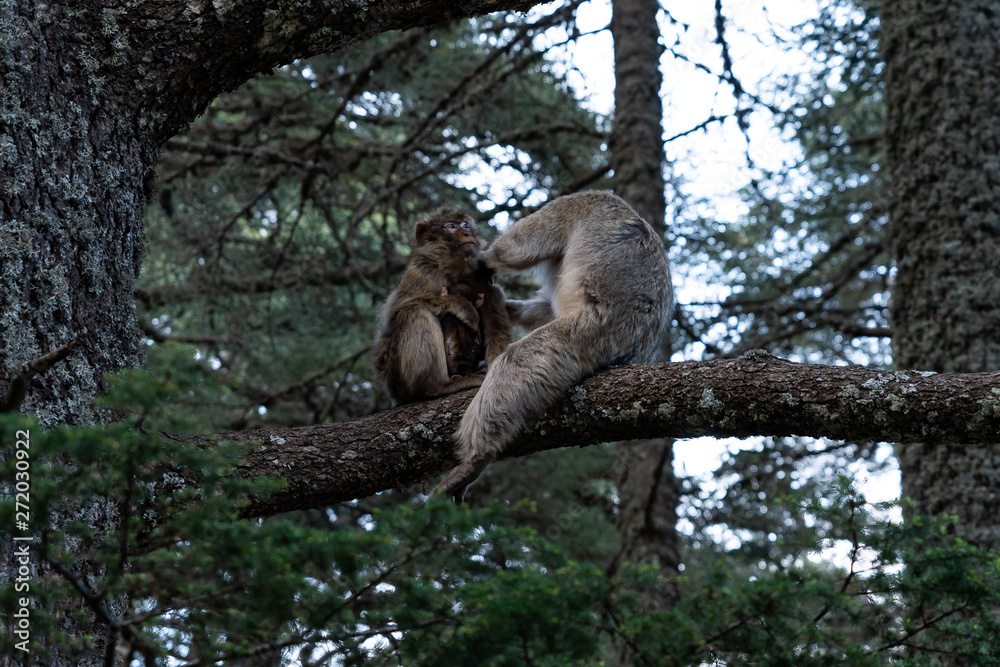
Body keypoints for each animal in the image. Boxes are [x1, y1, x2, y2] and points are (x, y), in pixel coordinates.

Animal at [371, 209, 512, 405]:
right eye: (451, 226)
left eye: (465, 225)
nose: (466, 232)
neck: (452, 269)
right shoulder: (421, 273)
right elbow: (393, 318)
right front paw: (462, 306)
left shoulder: (481, 279)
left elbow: (496, 321)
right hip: (394, 377)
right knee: (414, 312)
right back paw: (436, 386)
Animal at [434, 191, 674, 499]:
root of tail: (635, 349)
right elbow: (547, 308)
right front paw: (506, 307)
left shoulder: (573, 205)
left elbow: (514, 251)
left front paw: (482, 261)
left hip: (590, 333)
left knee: (517, 361)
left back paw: (477, 456)